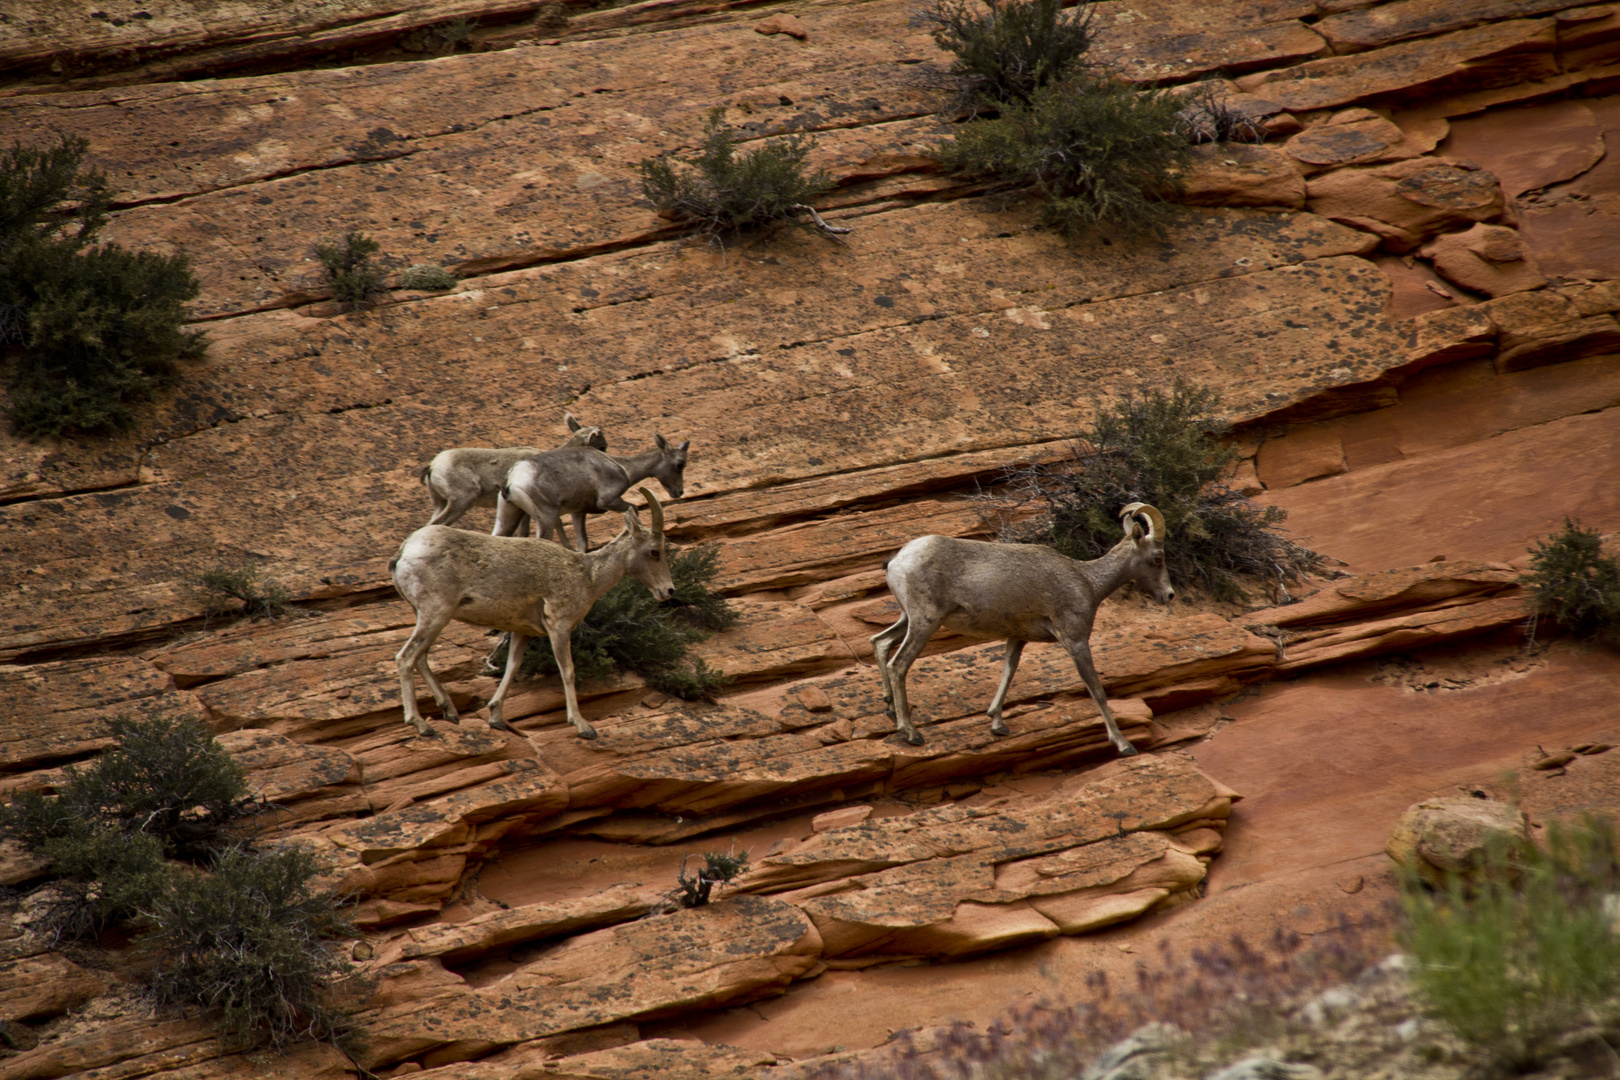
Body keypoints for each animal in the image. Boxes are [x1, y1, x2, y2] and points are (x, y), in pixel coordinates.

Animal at [388, 485, 673, 738]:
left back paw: (450, 711)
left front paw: (497, 718)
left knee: (421, 657)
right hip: (436, 612)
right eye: (654, 551)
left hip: (429, 615)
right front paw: (583, 727)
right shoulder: (559, 627)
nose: (668, 590)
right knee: (406, 657)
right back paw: (422, 725)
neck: (587, 577)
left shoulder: (522, 632)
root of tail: (405, 552)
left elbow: (512, 668)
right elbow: (568, 670)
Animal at [498, 430, 690, 550]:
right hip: (546, 519)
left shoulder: (578, 513)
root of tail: (512, 480)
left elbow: (583, 544)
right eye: (680, 465)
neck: (623, 468)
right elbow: (634, 509)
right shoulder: (609, 501)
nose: (679, 492)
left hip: (508, 518)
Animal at [874, 505, 1179, 751]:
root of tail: (896, 560)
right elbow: (1097, 691)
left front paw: (997, 724)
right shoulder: (1076, 641)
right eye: (1158, 558)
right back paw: (911, 733)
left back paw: (890, 709)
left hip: (908, 619)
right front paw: (1124, 744)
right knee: (898, 665)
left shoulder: (1017, 638)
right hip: (925, 622)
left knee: (880, 642)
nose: (1169, 595)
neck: (1088, 582)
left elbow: (1008, 672)